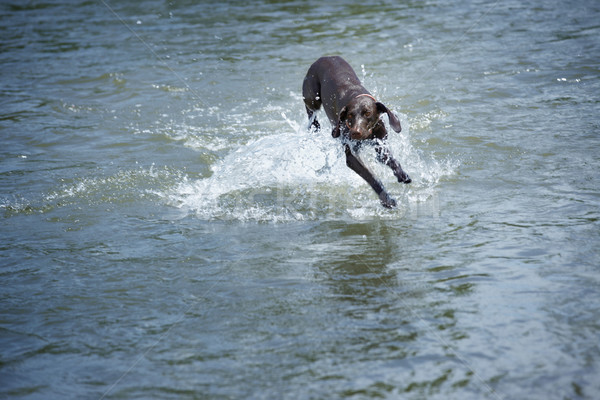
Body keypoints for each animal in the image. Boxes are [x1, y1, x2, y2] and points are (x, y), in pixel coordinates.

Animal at [302, 55, 410, 209]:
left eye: (367, 113)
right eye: (350, 116)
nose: (355, 133)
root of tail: (324, 57)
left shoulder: (380, 146)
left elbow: (392, 161)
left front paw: (402, 175)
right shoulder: (352, 157)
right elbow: (372, 178)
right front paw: (387, 199)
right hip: (312, 97)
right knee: (311, 112)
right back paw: (314, 126)